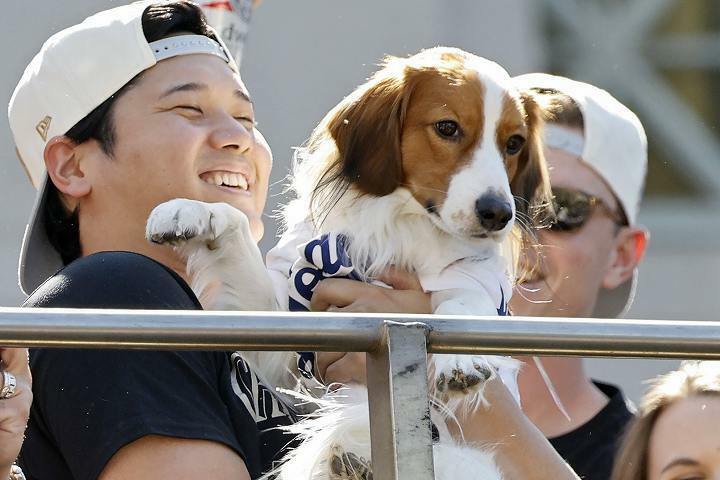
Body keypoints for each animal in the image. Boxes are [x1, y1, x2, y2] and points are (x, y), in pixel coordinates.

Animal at [145, 46, 552, 480]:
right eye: (447, 127)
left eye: (514, 142)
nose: (499, 214)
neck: (400, 225)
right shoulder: (288, 343)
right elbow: (233, 220)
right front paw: (190, 211)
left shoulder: (476, 280)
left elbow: (463, 303)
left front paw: (463, 358)